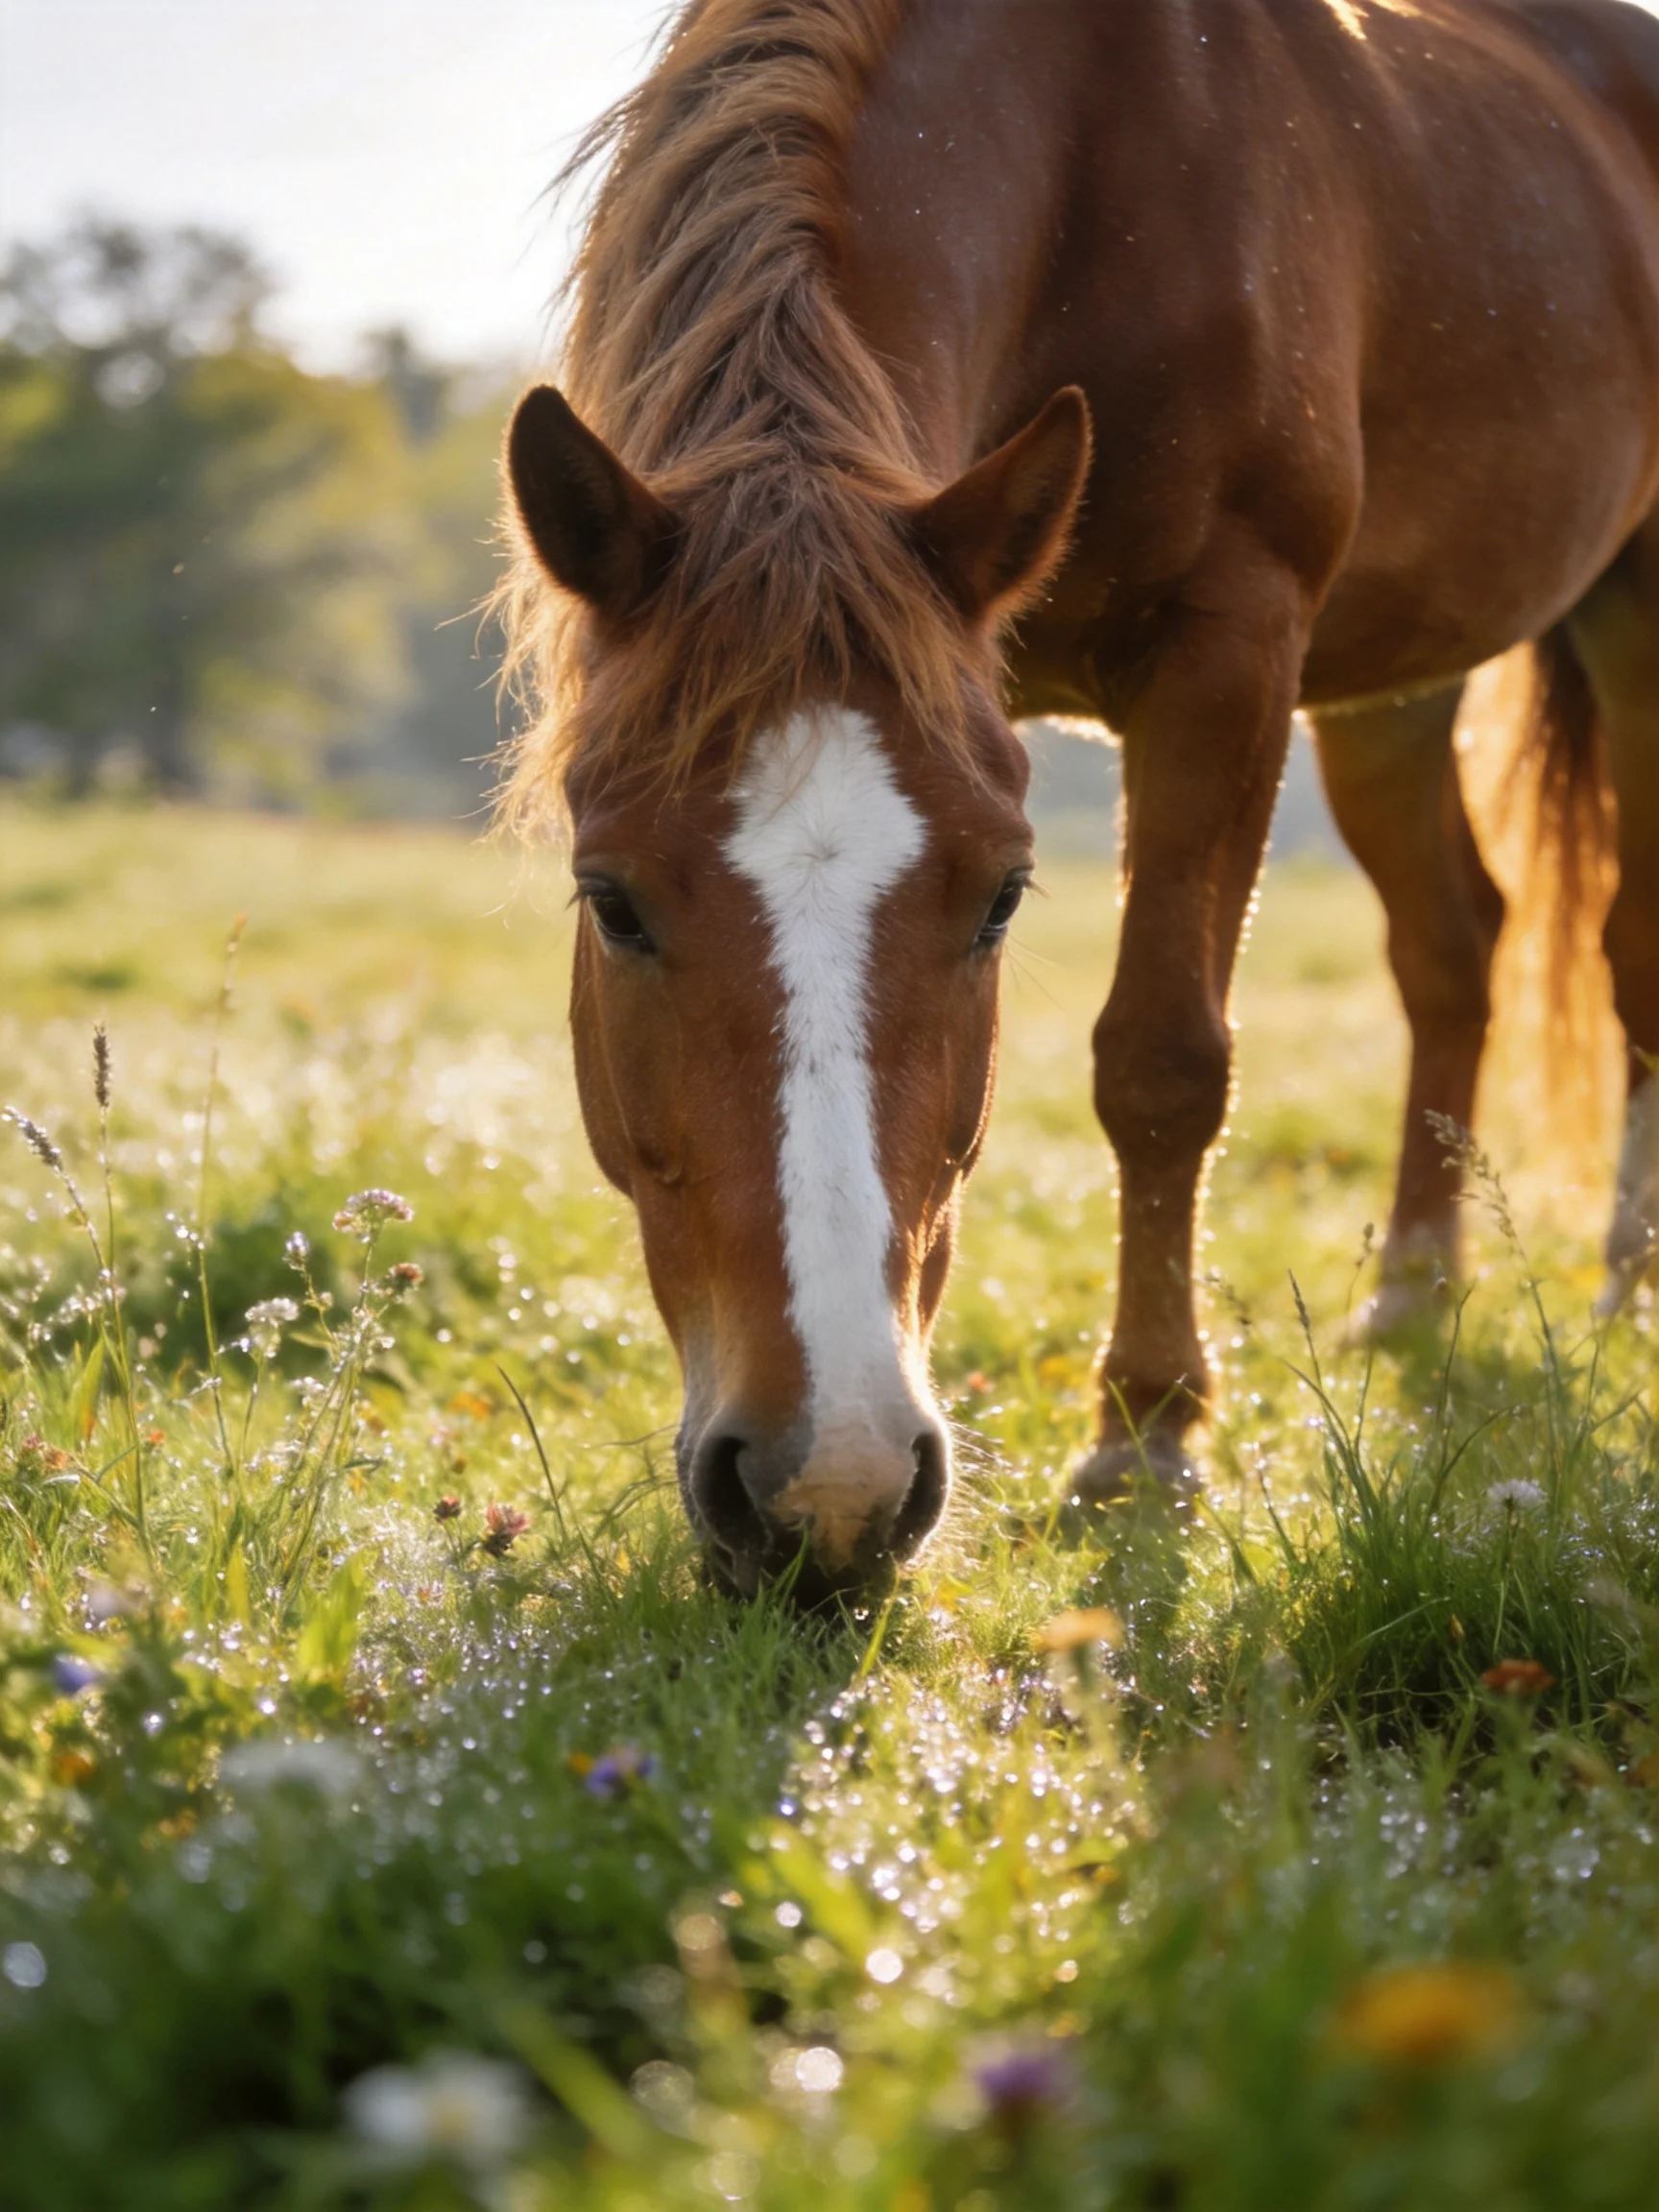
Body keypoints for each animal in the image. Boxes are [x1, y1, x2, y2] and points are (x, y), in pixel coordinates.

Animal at [496, 0, 1659, 1599]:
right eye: (609, 902)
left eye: (1001, 899)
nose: (831, 1490)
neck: (1094, 160)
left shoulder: (1229, 650)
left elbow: (1164, 1062)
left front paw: (1147, 1439)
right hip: (1395, 689)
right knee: (1454, 945)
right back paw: (1415, 1295)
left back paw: (1627, 1286)